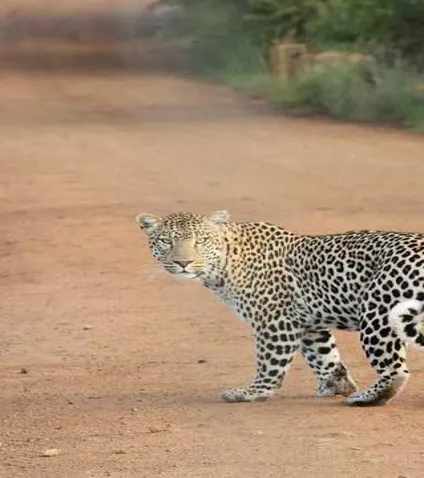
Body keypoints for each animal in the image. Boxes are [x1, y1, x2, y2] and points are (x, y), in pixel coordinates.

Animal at [136, 210, 424, 406]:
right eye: (166, 241)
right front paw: (336, 385)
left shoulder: (275, 321)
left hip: (378, 312)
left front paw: (253, 392)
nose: (183, 262)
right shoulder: (308, 323)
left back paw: (367, 398)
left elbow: (270, 362)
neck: (224, 264)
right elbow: (324, 356)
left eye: (201, 241)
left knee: (395, 371)